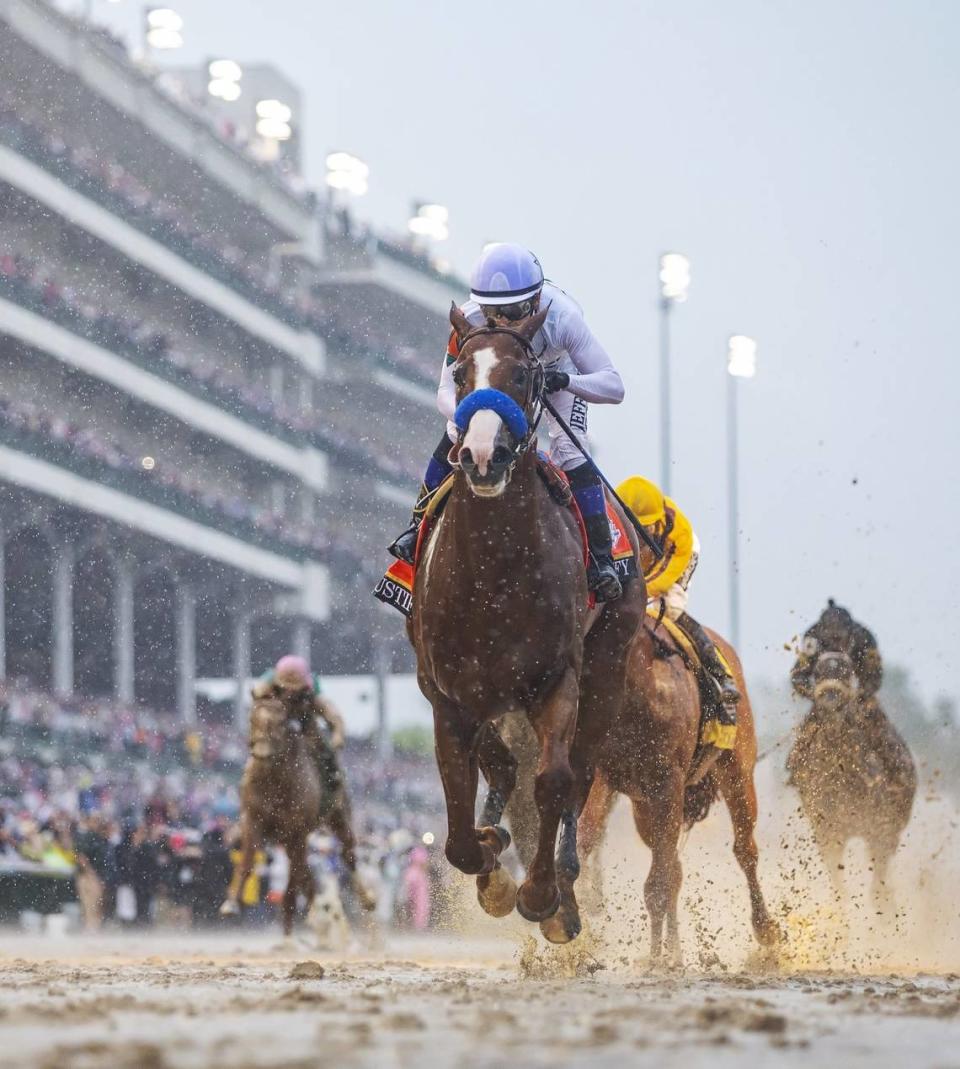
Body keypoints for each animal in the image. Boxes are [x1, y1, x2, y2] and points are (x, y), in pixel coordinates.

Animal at [220, 696, 320, 932]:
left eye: (281, 722)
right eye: (252, 719)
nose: (263, 751)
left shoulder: (297, 829)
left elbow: (298, 874)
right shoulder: (252, 819)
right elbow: (247, 863)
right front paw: (231, 904)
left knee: (301, 873)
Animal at [410, 305, 641, 932]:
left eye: (522, 375)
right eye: (460, 373)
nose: (481, 456)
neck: (494, 574)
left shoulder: (556, 680)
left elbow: (555, 781)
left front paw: (541, 895)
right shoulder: (447, 692)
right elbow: (460, 814)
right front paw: (490, 864)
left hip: (608, 669)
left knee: (579, 773)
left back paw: (565, 882)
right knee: (502, 767)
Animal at [786, 645, 915, 915]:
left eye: (846, 671)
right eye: (819, 671)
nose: (830, 696)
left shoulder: (880, 829)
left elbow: (878, 882)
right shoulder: (827, 831)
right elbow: (838, 882)